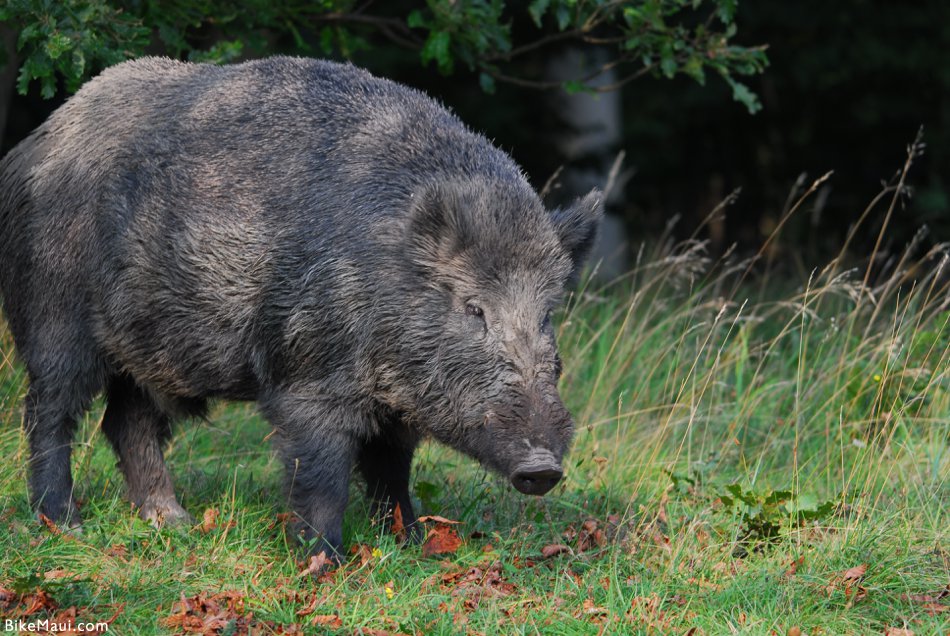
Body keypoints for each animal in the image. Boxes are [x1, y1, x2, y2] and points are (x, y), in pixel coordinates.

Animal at [0, 58, 604, 556]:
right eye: (475, 308)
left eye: (547, 312)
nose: (542, 468)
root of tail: (34, 143)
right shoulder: (307, 374)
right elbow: (323, 471)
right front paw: (324, 561)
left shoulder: (399, 402)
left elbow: (393, 468)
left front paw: (410, 544)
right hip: (54, 313)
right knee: (50, 411)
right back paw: (65, 524)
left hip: (153, 352)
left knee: (127, 421)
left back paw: (173, 522)